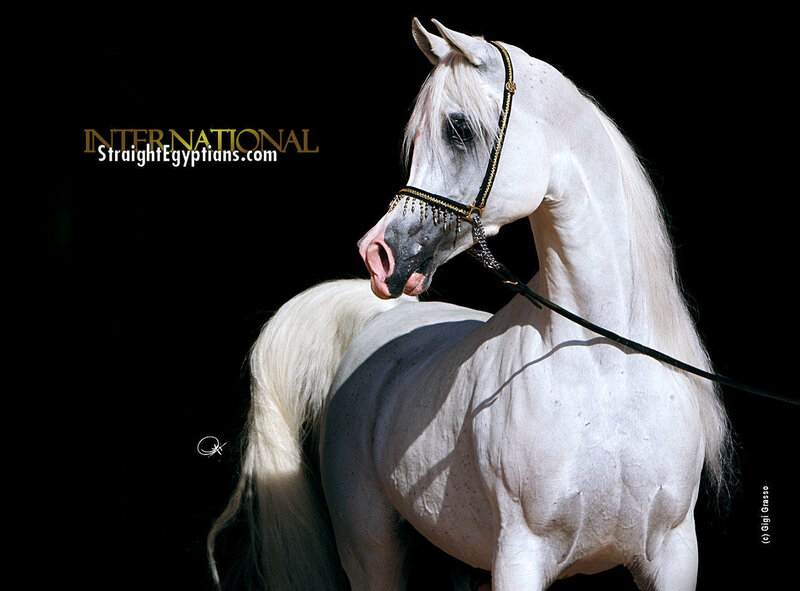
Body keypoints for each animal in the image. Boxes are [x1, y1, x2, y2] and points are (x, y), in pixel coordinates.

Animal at [208, 18, 732, 591]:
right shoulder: (521, 555)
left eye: (458, 129)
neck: (604, 363)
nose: (378, 255)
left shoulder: (674, 554)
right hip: (371, 552)